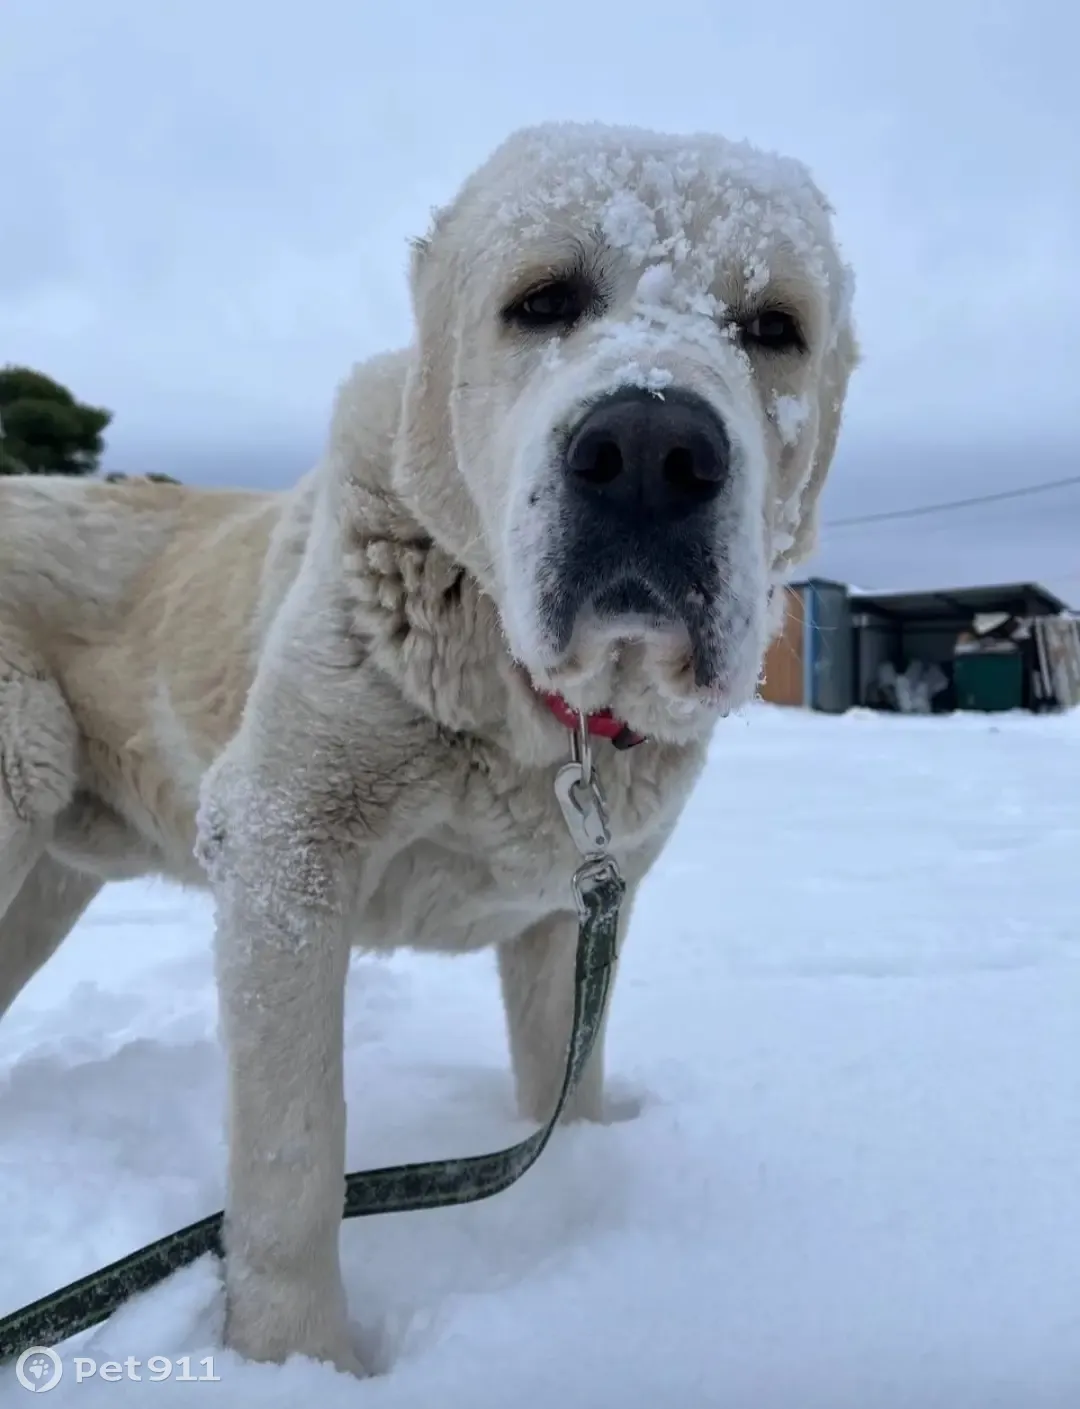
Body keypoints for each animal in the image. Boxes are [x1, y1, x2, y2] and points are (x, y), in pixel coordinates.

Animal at [0, 123, 861, 1375]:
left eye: (775, 326)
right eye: (543, 300)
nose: (651, 447)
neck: (544, 707)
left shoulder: (574, 914)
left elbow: (566, 1080)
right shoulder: (285, 851)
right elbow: (295, 1151)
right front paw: (296, 1359)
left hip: (46, 880)